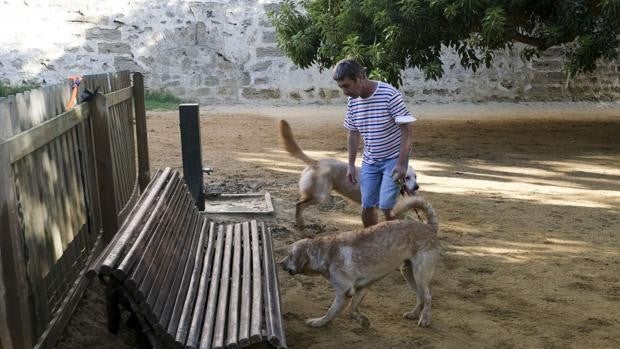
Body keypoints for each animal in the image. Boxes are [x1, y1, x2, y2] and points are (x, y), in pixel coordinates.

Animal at [278, 194, 438, 328]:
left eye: (289, 255)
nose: (279, 263)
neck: (325, 253)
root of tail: (429, 227)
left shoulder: (343, 292)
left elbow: (331, 312)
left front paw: (318, 322)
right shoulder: (363, 287)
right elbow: (352, 308)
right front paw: (362, 320)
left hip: (420, 274)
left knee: (428, 297)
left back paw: (424, 319)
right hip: (408, 272)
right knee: (420, 296)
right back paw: (413, 314)